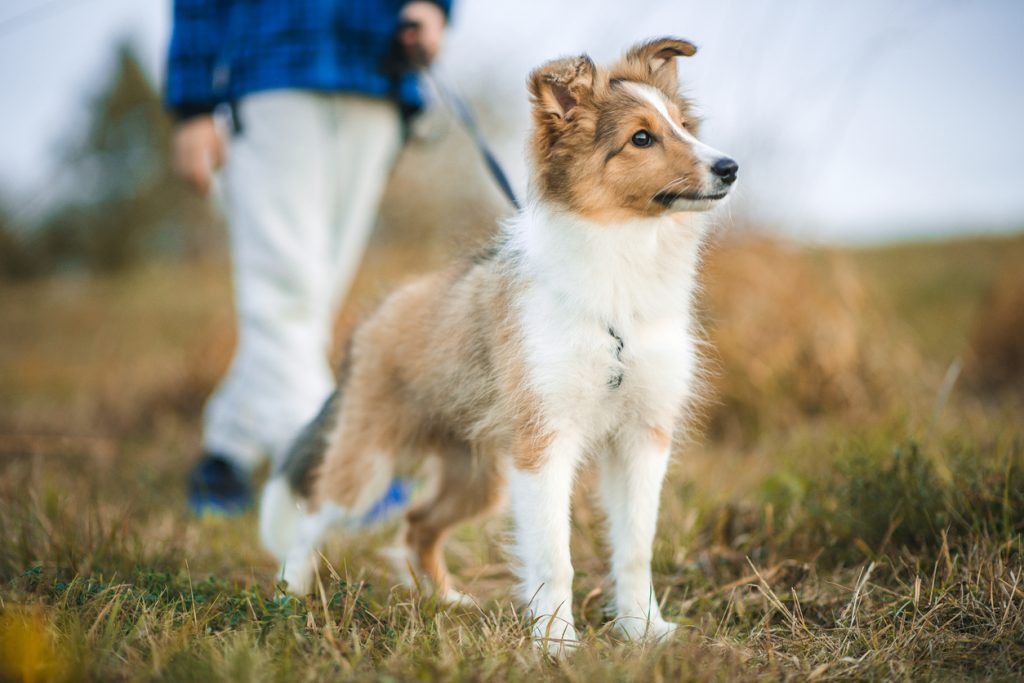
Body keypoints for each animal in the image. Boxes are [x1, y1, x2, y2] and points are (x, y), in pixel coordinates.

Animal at [260, 36, 741, 651]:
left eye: (683, 125)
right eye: (641, 138)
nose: (730, 168)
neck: (618, 284)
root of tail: (376, 317)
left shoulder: (641, 437)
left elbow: (635, 549)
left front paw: (642, 632)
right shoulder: (543, 443)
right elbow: (554, 557)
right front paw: (557, 644)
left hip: (478, 475)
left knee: (417, 524)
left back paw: (444, 601)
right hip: (370, 462)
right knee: (315, 515)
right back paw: (289, 598)